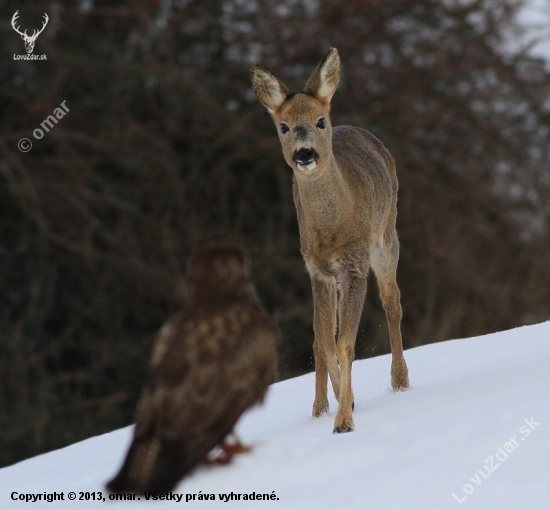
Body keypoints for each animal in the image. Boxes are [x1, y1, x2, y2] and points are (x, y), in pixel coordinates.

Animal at [253, 47, 410, 432]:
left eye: (320, 120)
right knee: (317, 337)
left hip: (386, 237)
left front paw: (344, 421)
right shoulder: (318, 271)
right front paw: (343, 402)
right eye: (283, 126)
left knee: (392, 301)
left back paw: (400, 381)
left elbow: (345, 344)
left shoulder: (354, 266)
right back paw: (318, 407)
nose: (305, 153)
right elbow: (325, 343)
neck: (332, 228)